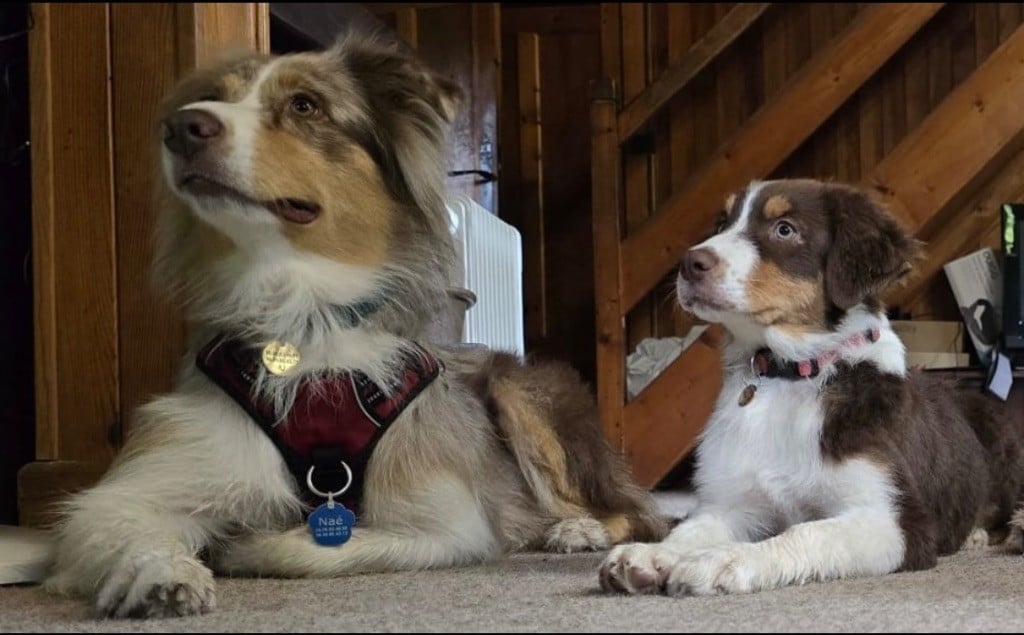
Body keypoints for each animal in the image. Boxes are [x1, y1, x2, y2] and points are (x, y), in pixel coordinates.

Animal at [41, 32, 663, 618]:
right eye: (213, 97)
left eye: (305, 105)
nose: (181, 128)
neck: (303, 317)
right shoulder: (148, 479)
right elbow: (117, 519)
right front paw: (158, 573)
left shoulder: (446, 518)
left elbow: (308, 548)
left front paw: (239, 542)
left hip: (521, 397)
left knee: (631, 511)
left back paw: (576, 529)